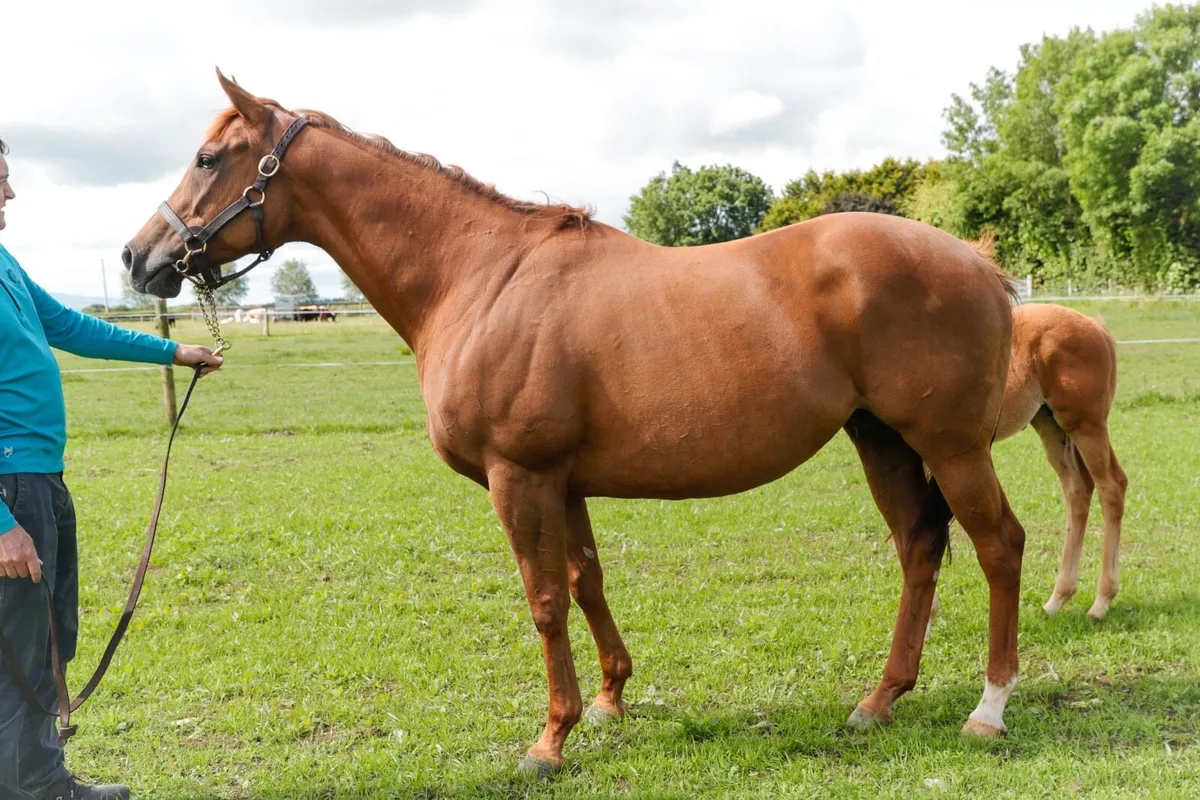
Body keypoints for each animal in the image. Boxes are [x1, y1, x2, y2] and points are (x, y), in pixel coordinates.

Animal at [122, 69, 1026, 775]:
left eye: (209, 158)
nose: (139, 257)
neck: (478, 276)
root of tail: (979, 262)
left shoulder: (518, 477)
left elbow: (545, 598)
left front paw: (549, 742)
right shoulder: (563, 481)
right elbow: (588, 580)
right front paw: (609, 700)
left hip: (950, 446)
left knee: (998, 545)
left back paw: (988, 709)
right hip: (882, 439)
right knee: (919, 549)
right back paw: (880, 699)